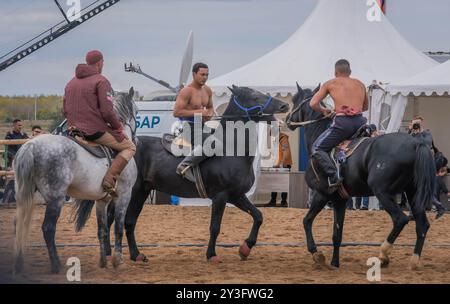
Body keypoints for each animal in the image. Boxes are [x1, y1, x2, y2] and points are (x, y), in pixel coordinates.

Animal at [74, 85, 288, 264]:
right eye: (255, 96)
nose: (284, 105)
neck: (231, 150)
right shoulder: (221, 196)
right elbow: (215, 227)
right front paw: (212, 255)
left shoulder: (237, 196)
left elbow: (258, 216)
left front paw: (245, 248)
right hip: (131, 191)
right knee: (113, 218)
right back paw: (110, 254)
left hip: (142, 192)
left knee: (128, 221)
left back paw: (136, 255)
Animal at [284, 83, 436, 270]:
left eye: (294, 100)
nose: (287, 119)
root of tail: (416, 143)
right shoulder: (340, 200)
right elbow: (337, 234)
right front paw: (335, 263)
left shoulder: (321, 194)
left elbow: (306, 221)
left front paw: (316, 253)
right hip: (413, 193)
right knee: (422, 225)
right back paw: (414, 260)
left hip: (383, 192)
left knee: (400, 219)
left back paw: (383, 254)